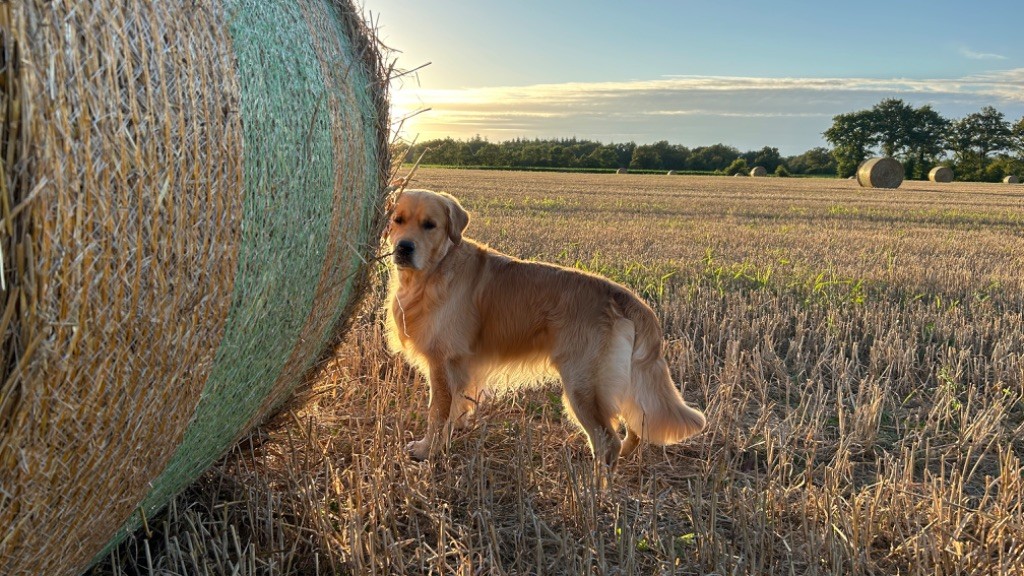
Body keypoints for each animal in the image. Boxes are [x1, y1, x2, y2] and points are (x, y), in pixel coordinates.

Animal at [385, 188, 704, 467]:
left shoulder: (443, 361)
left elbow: (436, 413)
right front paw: (453, 434)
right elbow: (455, 409)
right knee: (635, 426)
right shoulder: (462, 367)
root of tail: (621, 295)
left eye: (430, 225)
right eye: (398, 220)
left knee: (607, 440)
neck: (435, 271)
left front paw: (425, 451)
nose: (404, 248)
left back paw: (594, 491)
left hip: (582, 385)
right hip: (615, 383)